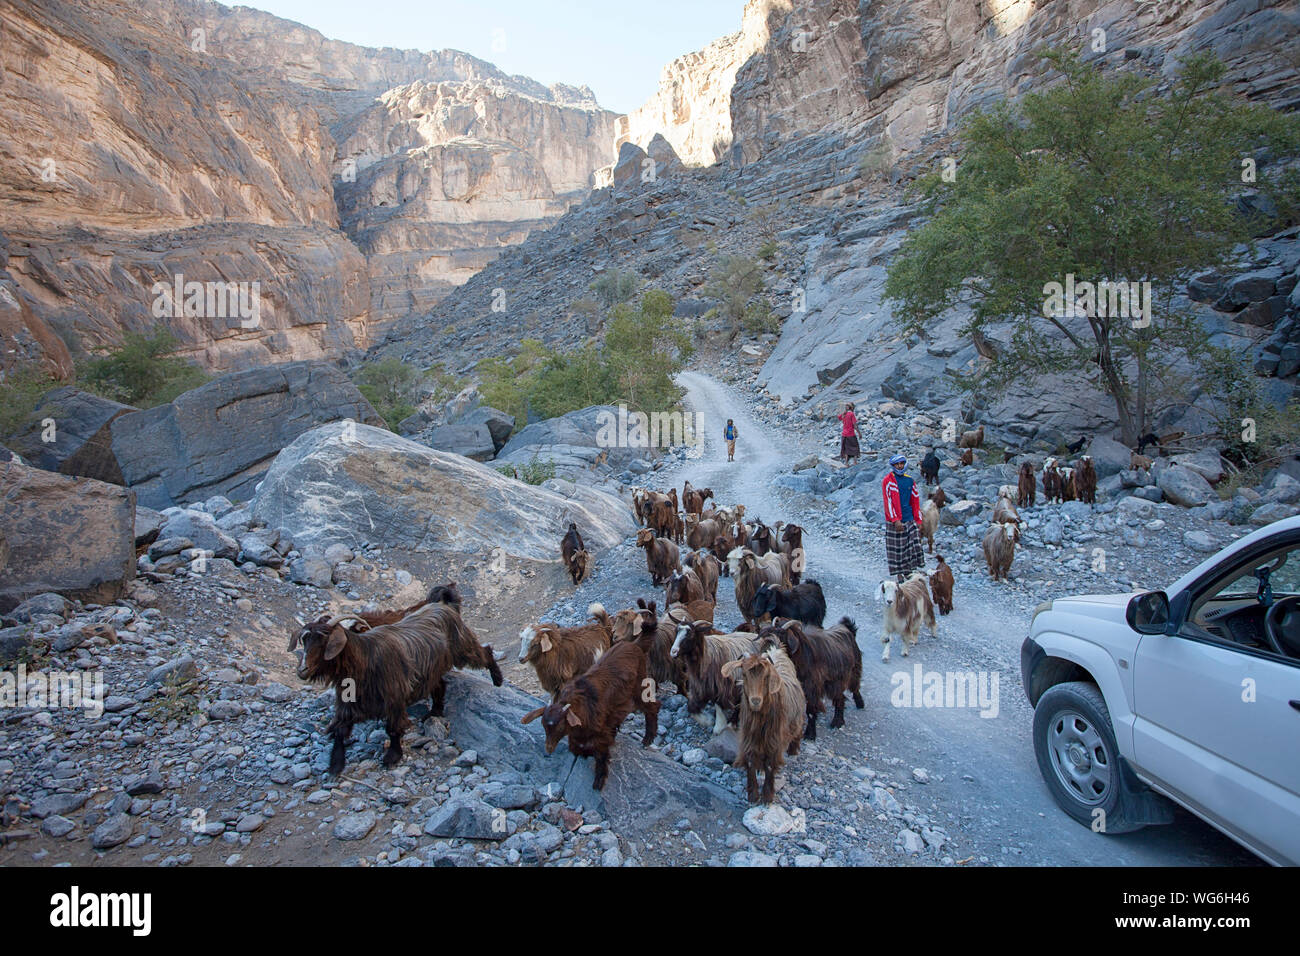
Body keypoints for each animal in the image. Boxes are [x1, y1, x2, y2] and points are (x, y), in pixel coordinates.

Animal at [520, 639, 660, 790]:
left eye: (560, 727)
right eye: (543, 726)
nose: (549, 749)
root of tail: (635, 644)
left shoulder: (601, 732)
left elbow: (601, 754)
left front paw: (599, 781)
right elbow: (575, 747)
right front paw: (583, 752)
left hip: (640, 686)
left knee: (653, 706)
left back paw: (647, 738)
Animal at [722, 639, 800, 806]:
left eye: (766, 676)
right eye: (744, 674)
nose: (756, 700)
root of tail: (777, 649)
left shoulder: (775, 741)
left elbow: (770, 765)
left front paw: (767, 796)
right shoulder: (748, 739)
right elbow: (751, 762)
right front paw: (752, 795)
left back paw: (793, 749)